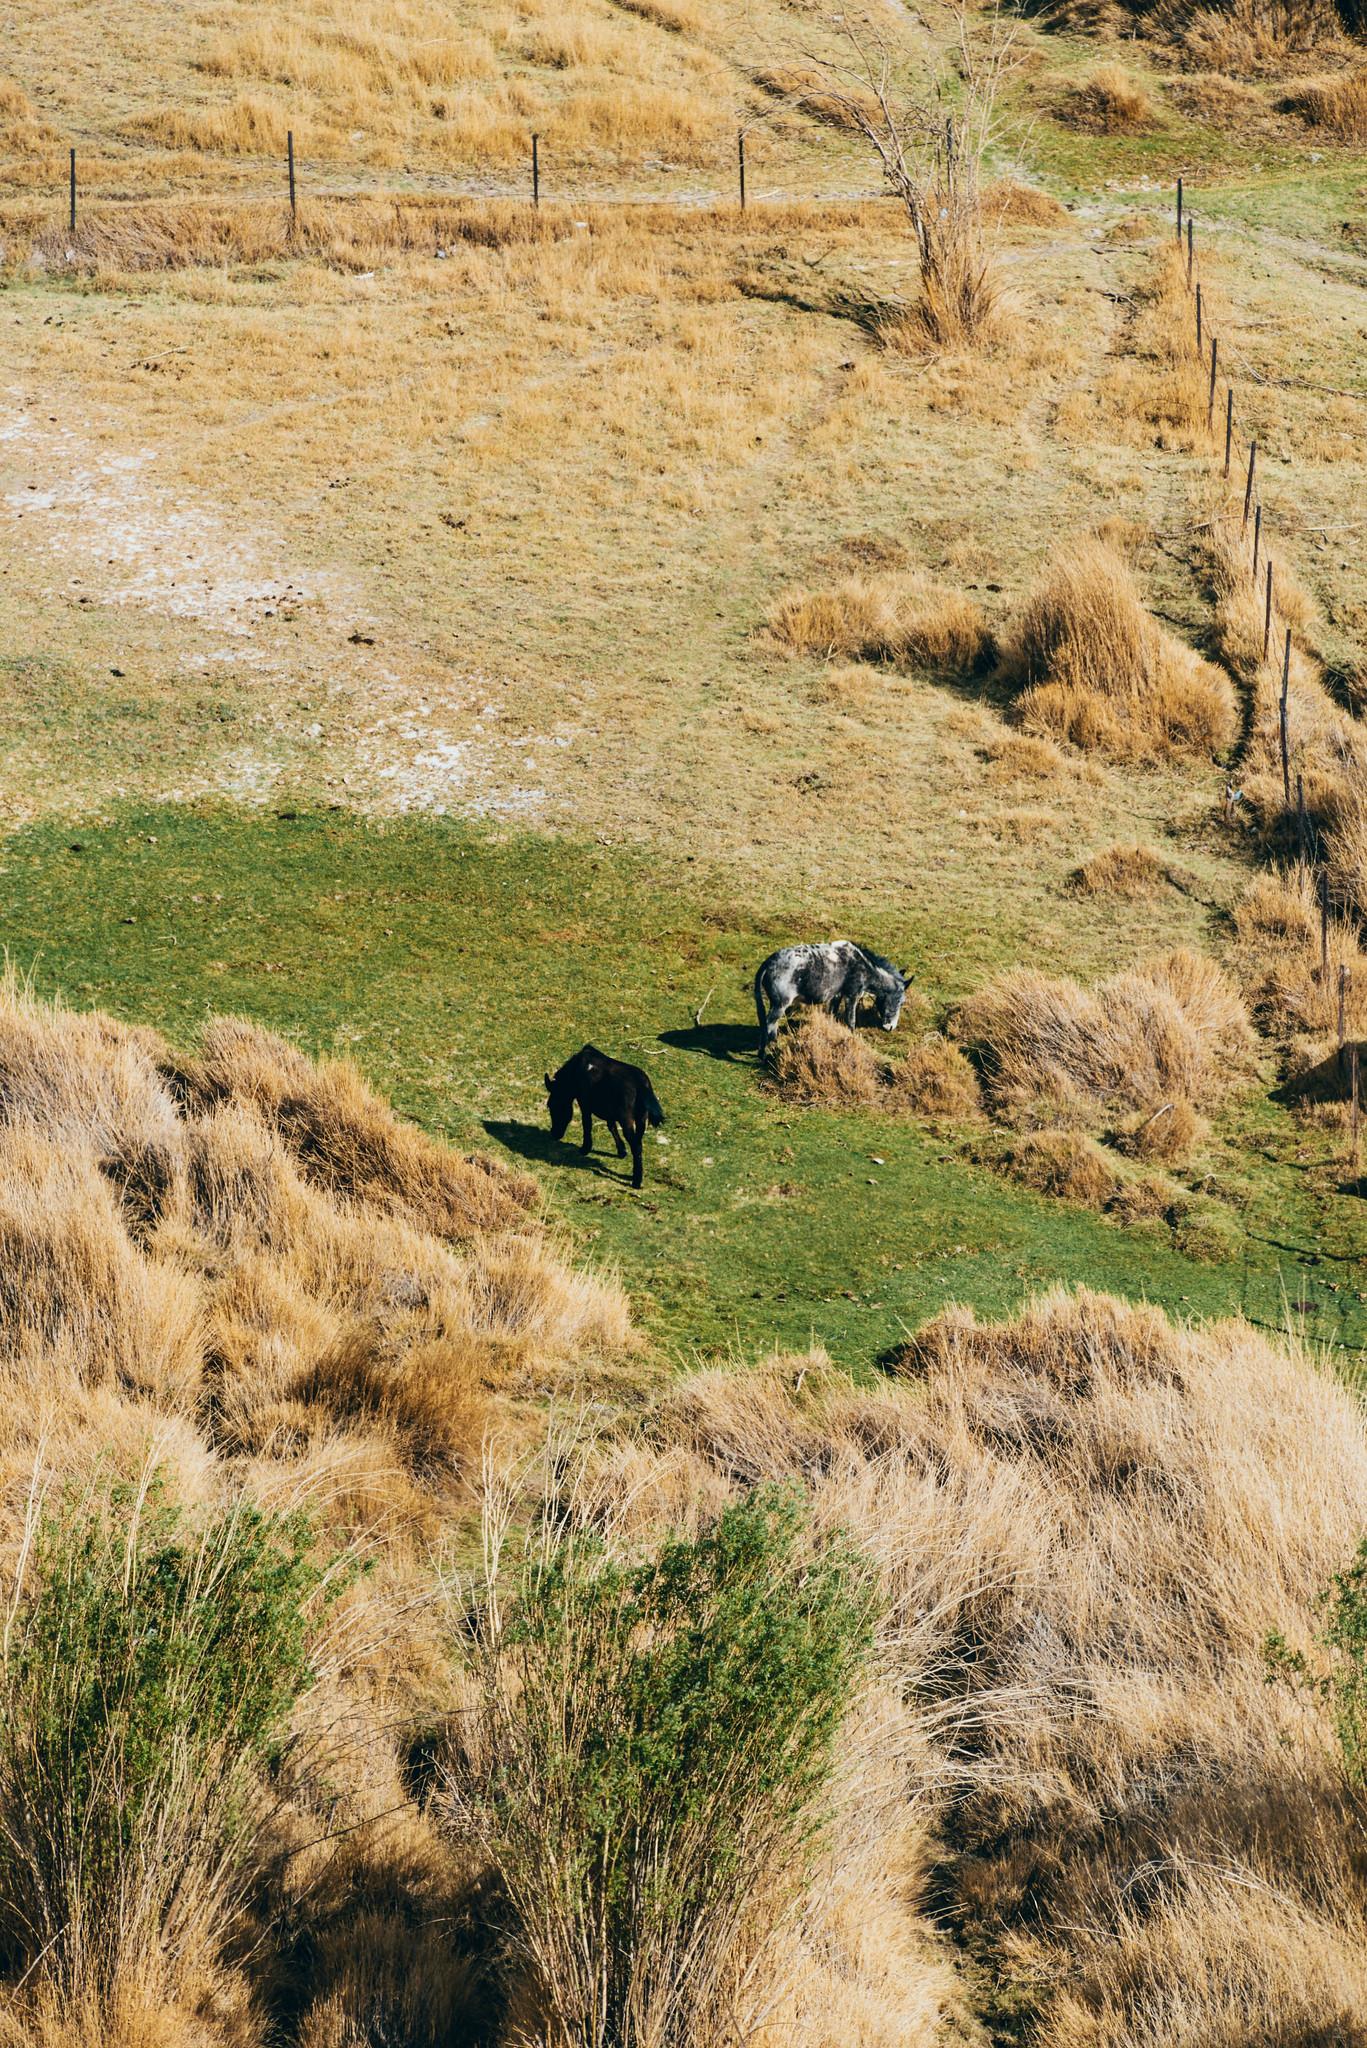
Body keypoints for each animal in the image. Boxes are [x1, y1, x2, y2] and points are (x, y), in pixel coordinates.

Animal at [541, 1048, 664, 1196]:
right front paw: (621, 1151)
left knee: (636, 1146)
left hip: (627, 1120)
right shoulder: (610, 1112)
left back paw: (636, 1181)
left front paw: (585, 1148)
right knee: (638, 1144)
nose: (554, 1134)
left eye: (551, 1105)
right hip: (641, 1120)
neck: (577, 1069)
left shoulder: (585, 1104)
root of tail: (642, 1085)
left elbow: (587, 1124)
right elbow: (611, 1126)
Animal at [758, 937, 909, 1048]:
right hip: (780, 1005)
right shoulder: (852, 995)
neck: (863, 964)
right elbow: (851, 1020)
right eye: (901, 1002)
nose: (890, 1027)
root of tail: (769, 963)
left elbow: (832, 1014)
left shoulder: (837, 995)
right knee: (769, 1024)